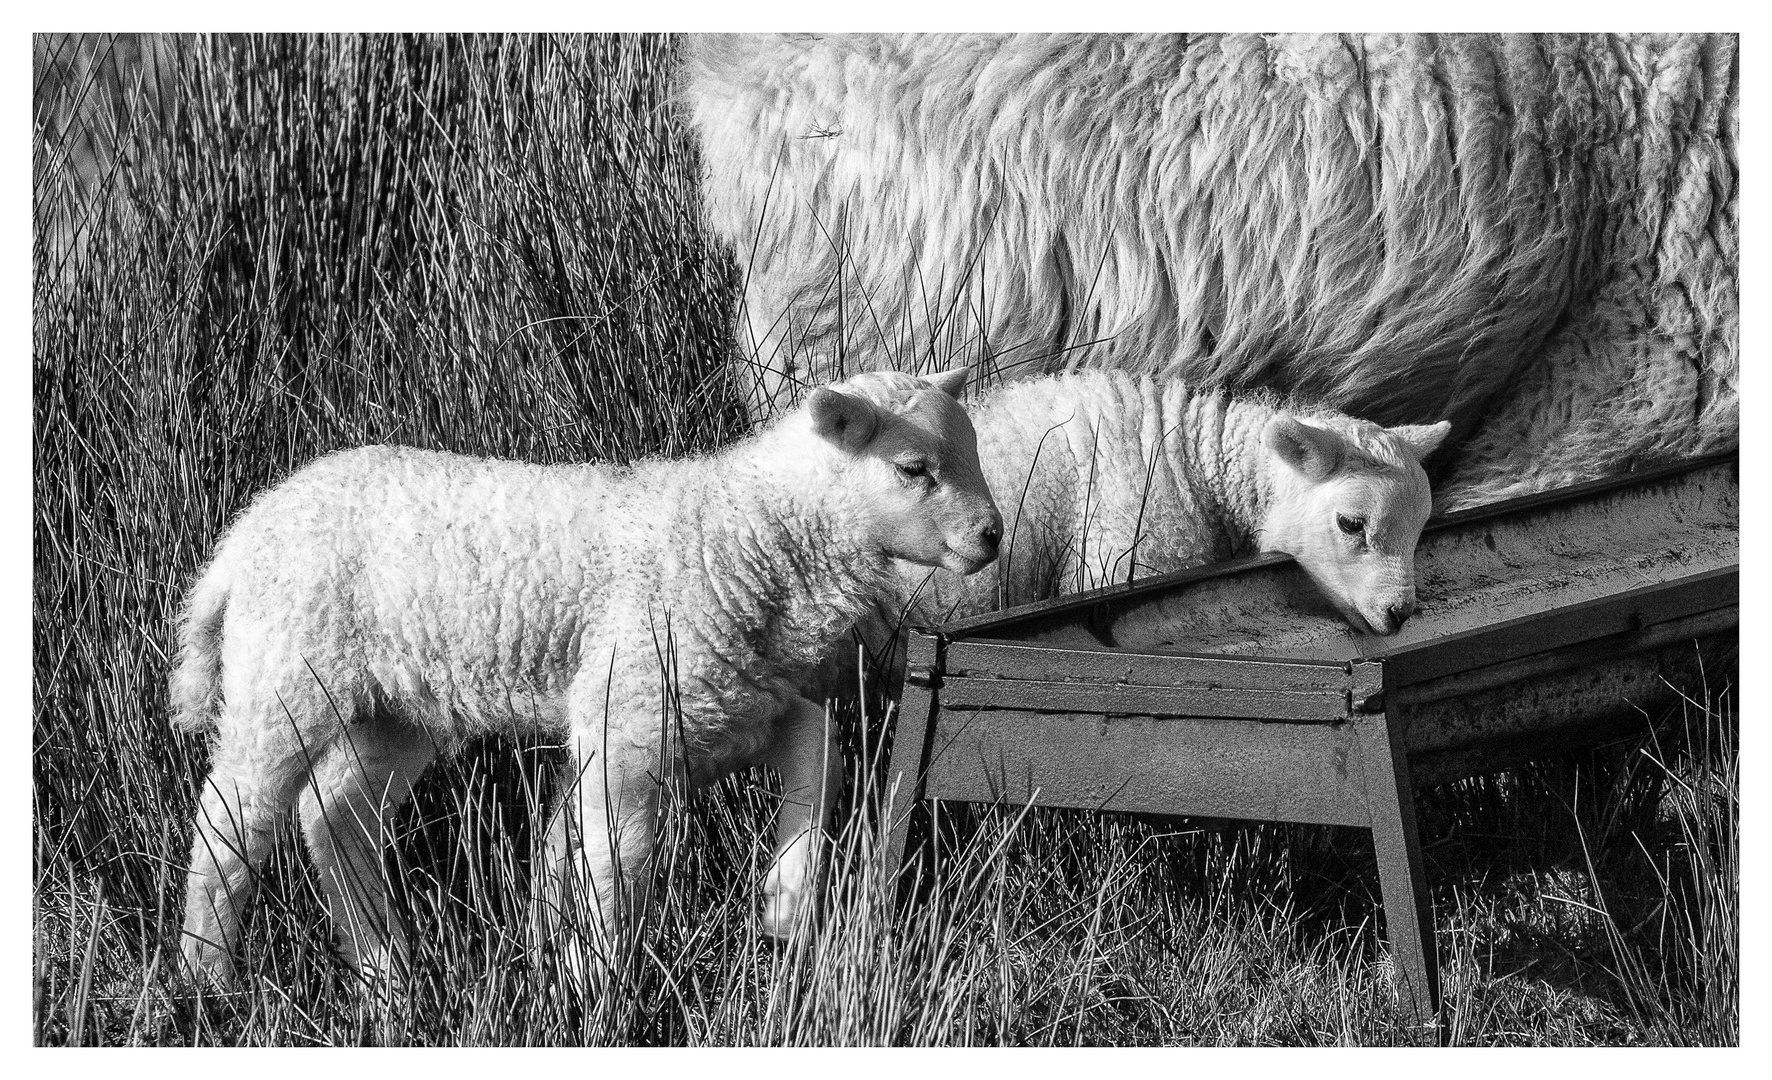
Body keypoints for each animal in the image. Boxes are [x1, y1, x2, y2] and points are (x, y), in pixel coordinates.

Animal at [170, 367, 1006, 978]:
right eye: (913, 468)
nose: (991, 536)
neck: (748, 531)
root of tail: (244, 534)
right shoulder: (632, 713)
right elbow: (616, 859)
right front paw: (593, 973)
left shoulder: (737, 700)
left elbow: (821, 755)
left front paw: (786, 903)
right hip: (286, 671)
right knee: (232, 821)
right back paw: (208, 979)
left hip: (398, 705)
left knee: (336, 811)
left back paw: (385, 968)